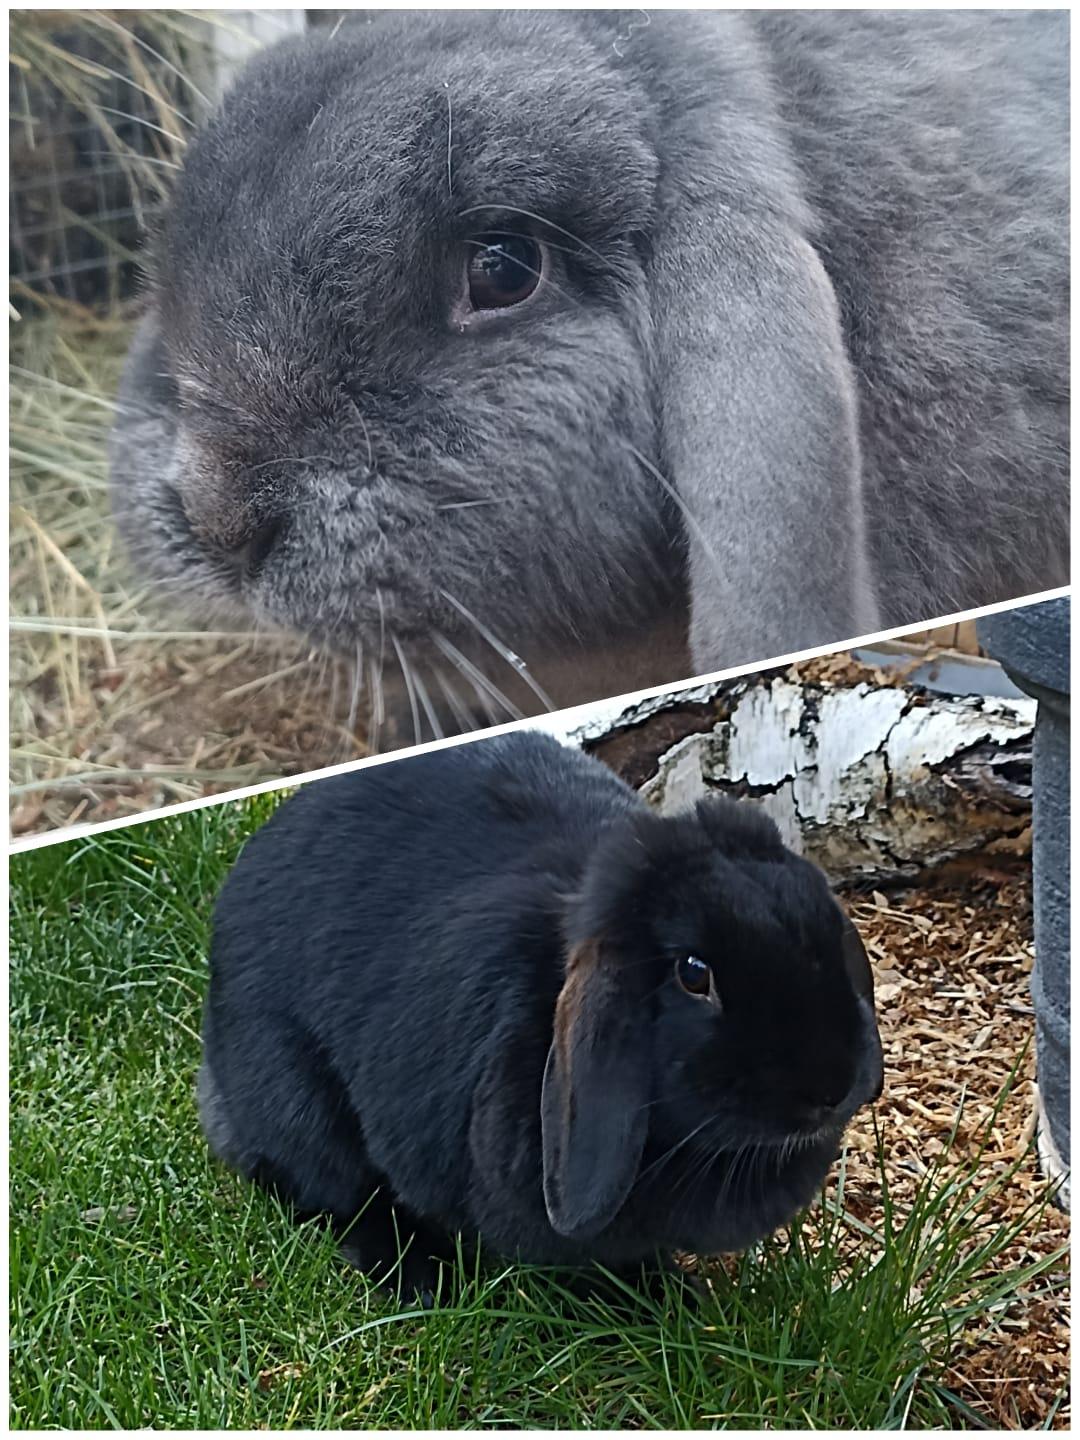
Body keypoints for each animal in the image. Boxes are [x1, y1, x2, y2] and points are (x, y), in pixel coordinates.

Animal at [198, 728, 884, 1299]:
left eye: (823, 926)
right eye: (695, 974)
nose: (831, 1087)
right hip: (302, 1109)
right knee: (336, 1197)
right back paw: (418, 1278)